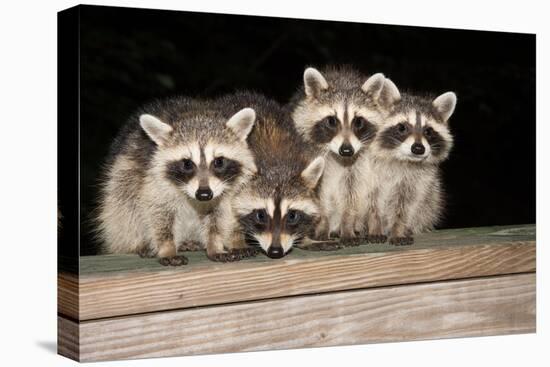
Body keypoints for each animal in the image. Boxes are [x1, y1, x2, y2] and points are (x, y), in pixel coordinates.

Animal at [96, 96, 260, 266]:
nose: (204, 194)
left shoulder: (223, 193)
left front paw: (215, 244)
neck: (197, 115)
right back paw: (138, 243)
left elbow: (218, 218)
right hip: (121, 179)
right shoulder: (153, 182)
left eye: (219, 161)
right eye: (187, 163)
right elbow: (158, 213)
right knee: (125, 209)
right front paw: (167, 247)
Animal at [222, 92, 328, 258]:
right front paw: (236, 240)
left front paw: (305, 237)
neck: (276, 161)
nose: (276, 251)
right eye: (260, 215)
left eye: (292, 216)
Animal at [292, 67, 394, 244]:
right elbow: (320, 196)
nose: (347, 150)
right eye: (332, 121)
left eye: (358, 122)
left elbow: (351, 195)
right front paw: (323, 225)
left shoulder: (358, 166)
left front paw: (347, 225)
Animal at [366, 78, 458, 246]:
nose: (418, 148)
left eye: (428, 131)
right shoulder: (369, 170)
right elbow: (371, 202)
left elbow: (406, 206)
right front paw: (374, 226)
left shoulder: (416, 181)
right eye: (402, 127)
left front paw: (398, 229)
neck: (402, 160)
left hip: (431, 199)